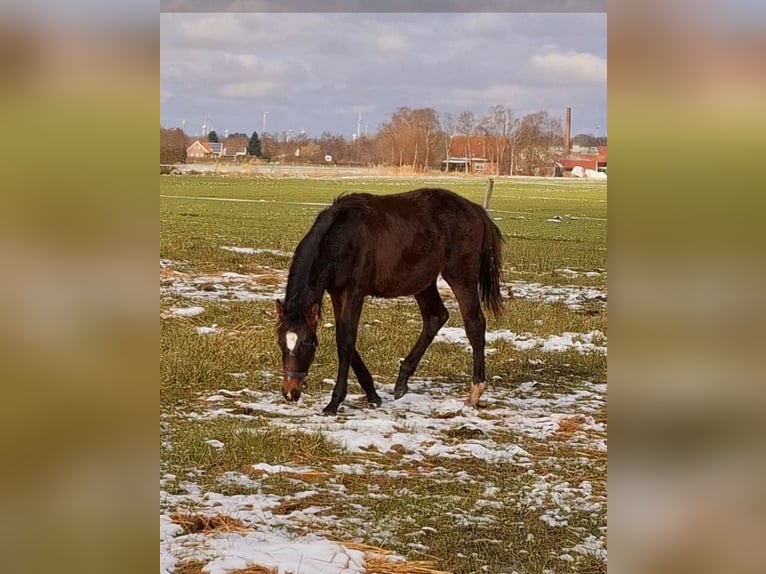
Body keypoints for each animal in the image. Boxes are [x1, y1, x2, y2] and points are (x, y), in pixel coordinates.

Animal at [276, 189, 504, 418]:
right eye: (280, 342)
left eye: (308, 343)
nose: (290, 392)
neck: (342, 237)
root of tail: (476, 210)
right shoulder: (337, 294)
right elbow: (345, 339)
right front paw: (373, 395)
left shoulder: (354, 293)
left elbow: (346, 341)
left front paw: (334, 403)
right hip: (424, 282)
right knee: (435, 317)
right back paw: (402, 382)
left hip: (460, 277)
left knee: (474, 324)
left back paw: (475, 392)